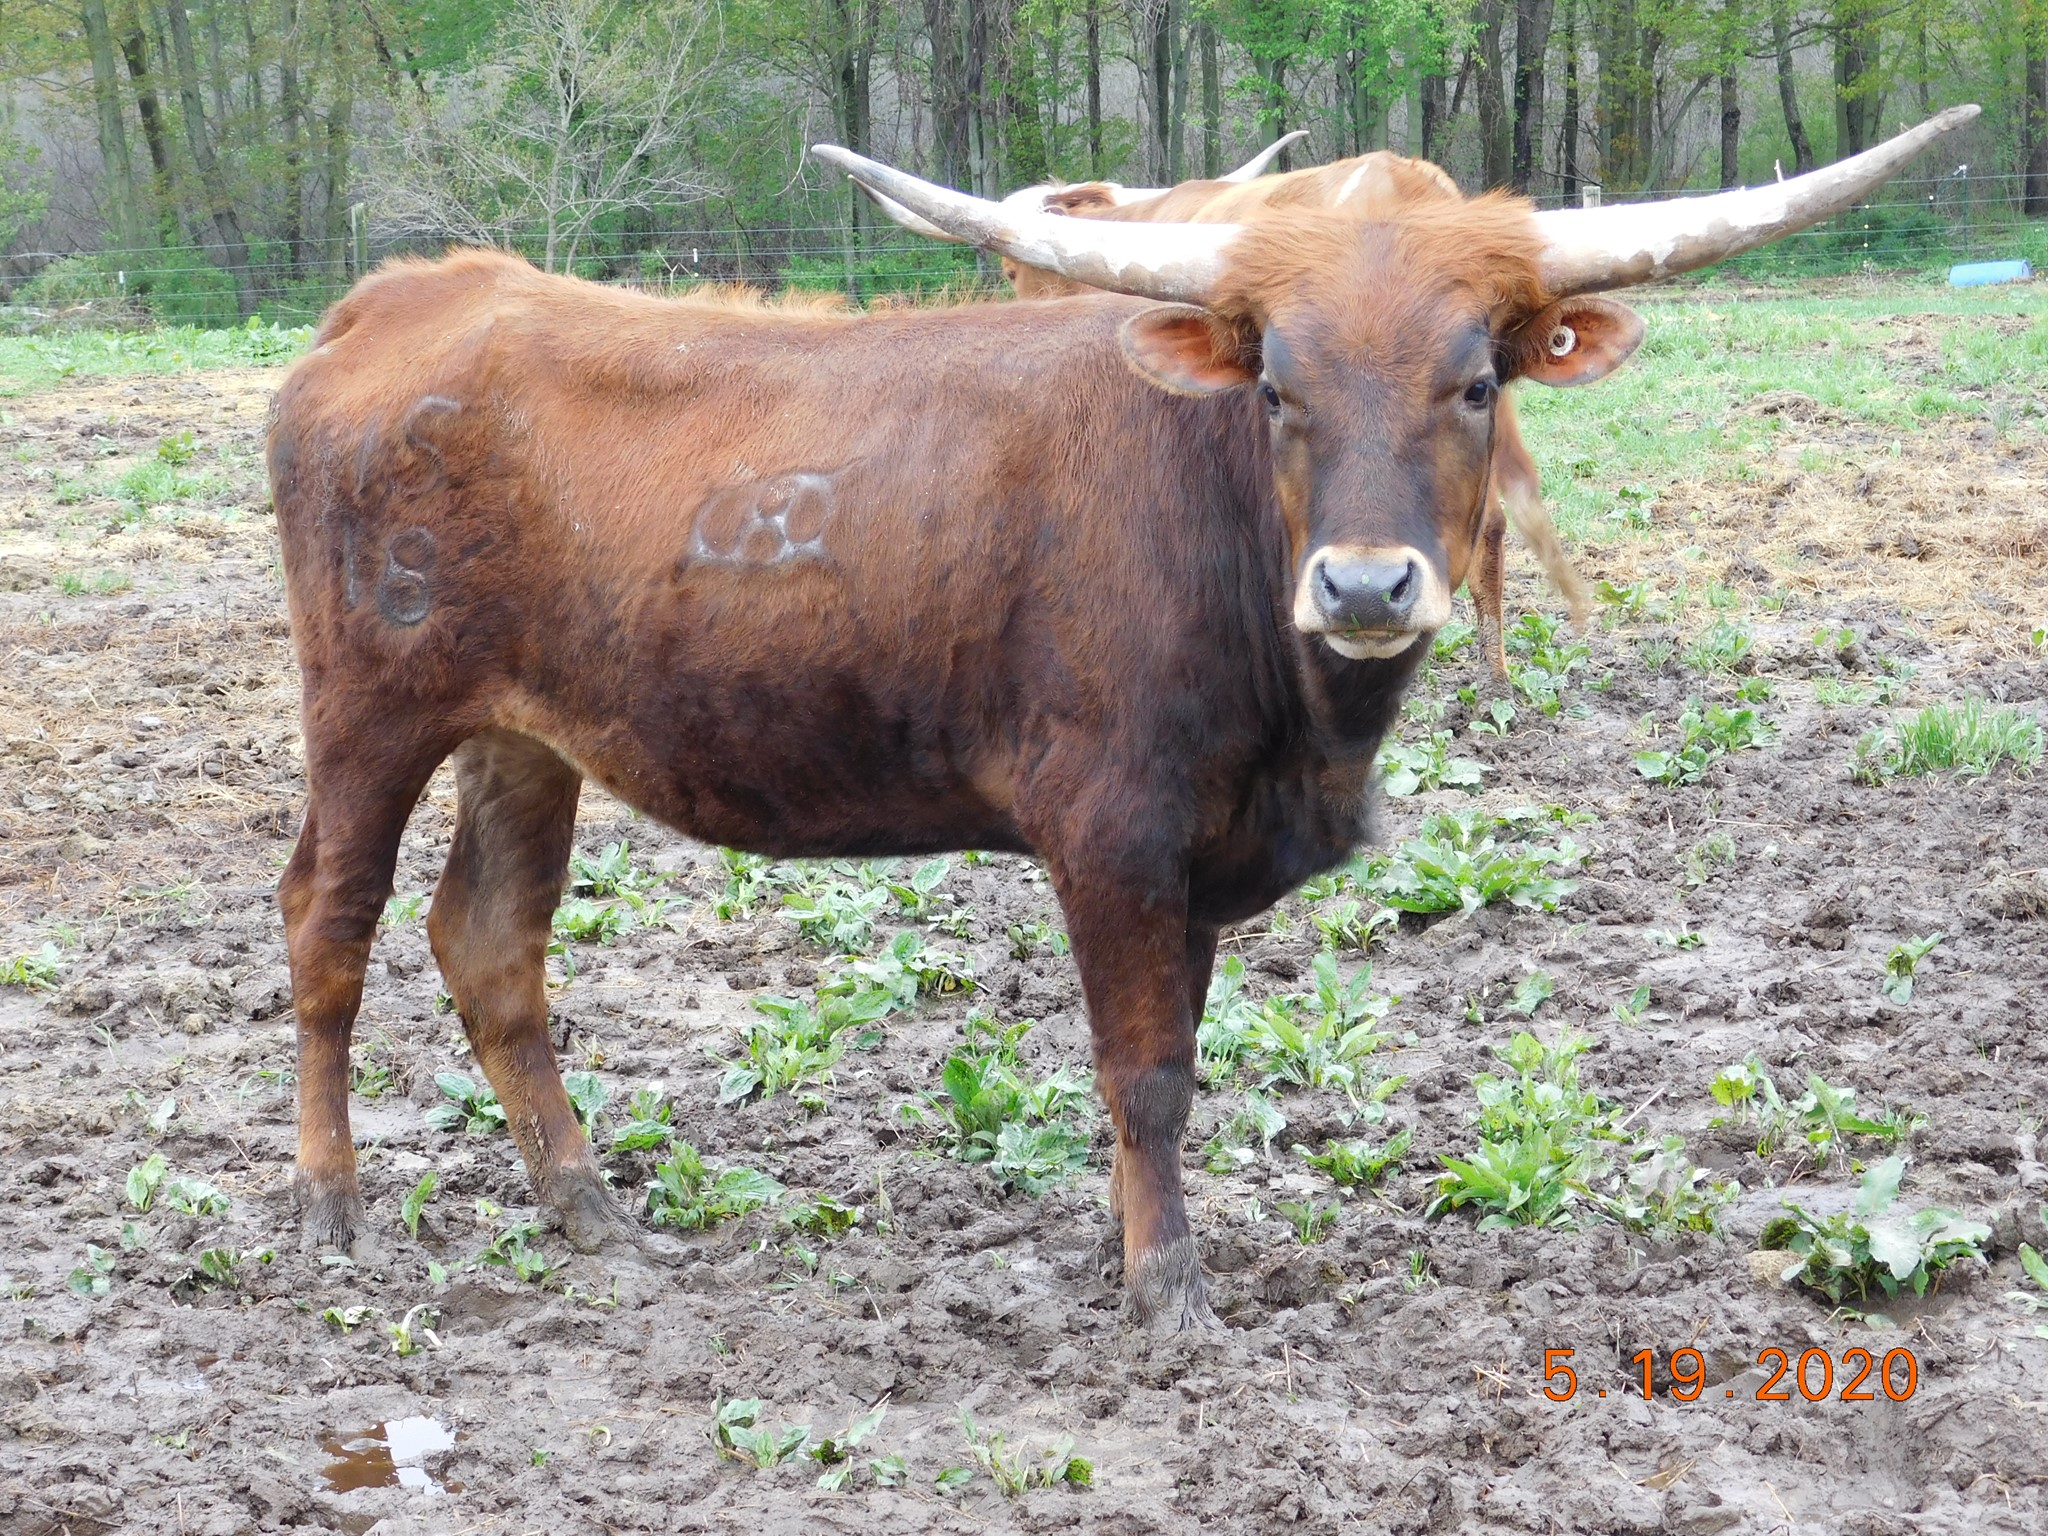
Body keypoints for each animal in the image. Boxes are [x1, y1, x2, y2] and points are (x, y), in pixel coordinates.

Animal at [267, 108, 1973, 1331]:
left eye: (1480, 379)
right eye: (1276, 384)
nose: (1366, 585)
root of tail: (416, 294)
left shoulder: (1200, 855)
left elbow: (1173, 1059)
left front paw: (1124, 1235)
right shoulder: (1114, 834)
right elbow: (1143, 1068)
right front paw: (1167, 1290)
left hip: (525, 735)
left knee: (491, 944)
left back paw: (590, 1211)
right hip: (368, 713)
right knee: (328, 928)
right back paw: (333, 1213)